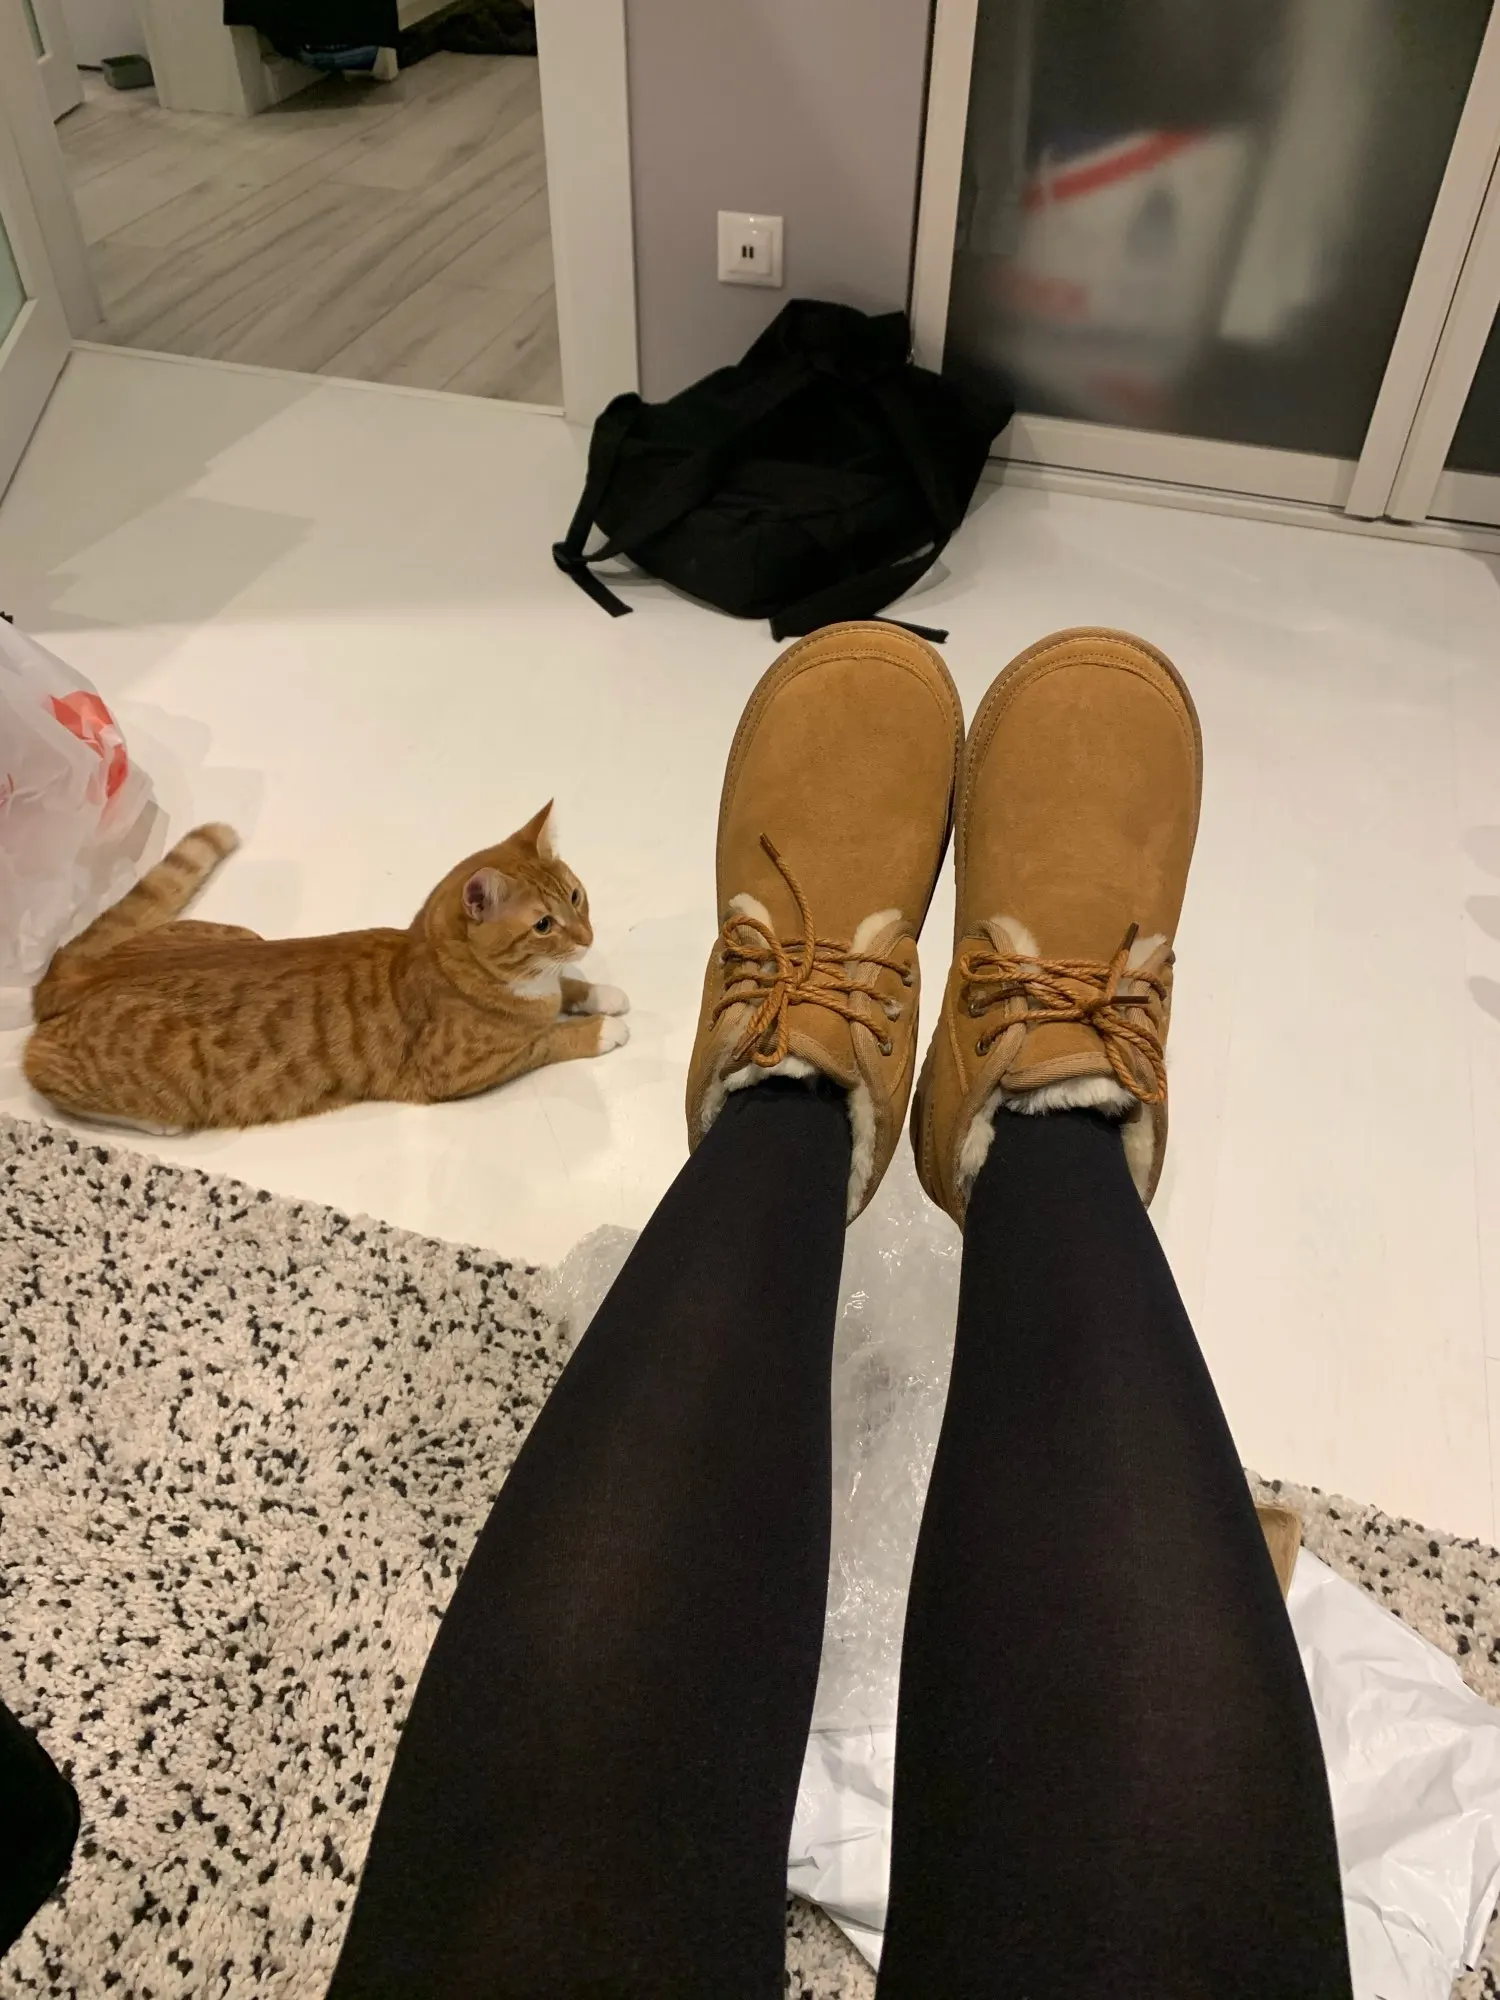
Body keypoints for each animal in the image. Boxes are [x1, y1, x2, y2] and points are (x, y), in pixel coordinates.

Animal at [23, 803, 629, 1134]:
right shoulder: (459, 1073)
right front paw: (603, 1029)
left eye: (576, 896)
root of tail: (80, 971)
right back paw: (159, 1122)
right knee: (44, 1076)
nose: (588, 936)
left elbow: (571, 987)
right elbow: (546, 1041)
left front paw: (603, 993)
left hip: (239, 932)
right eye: (543, 925)